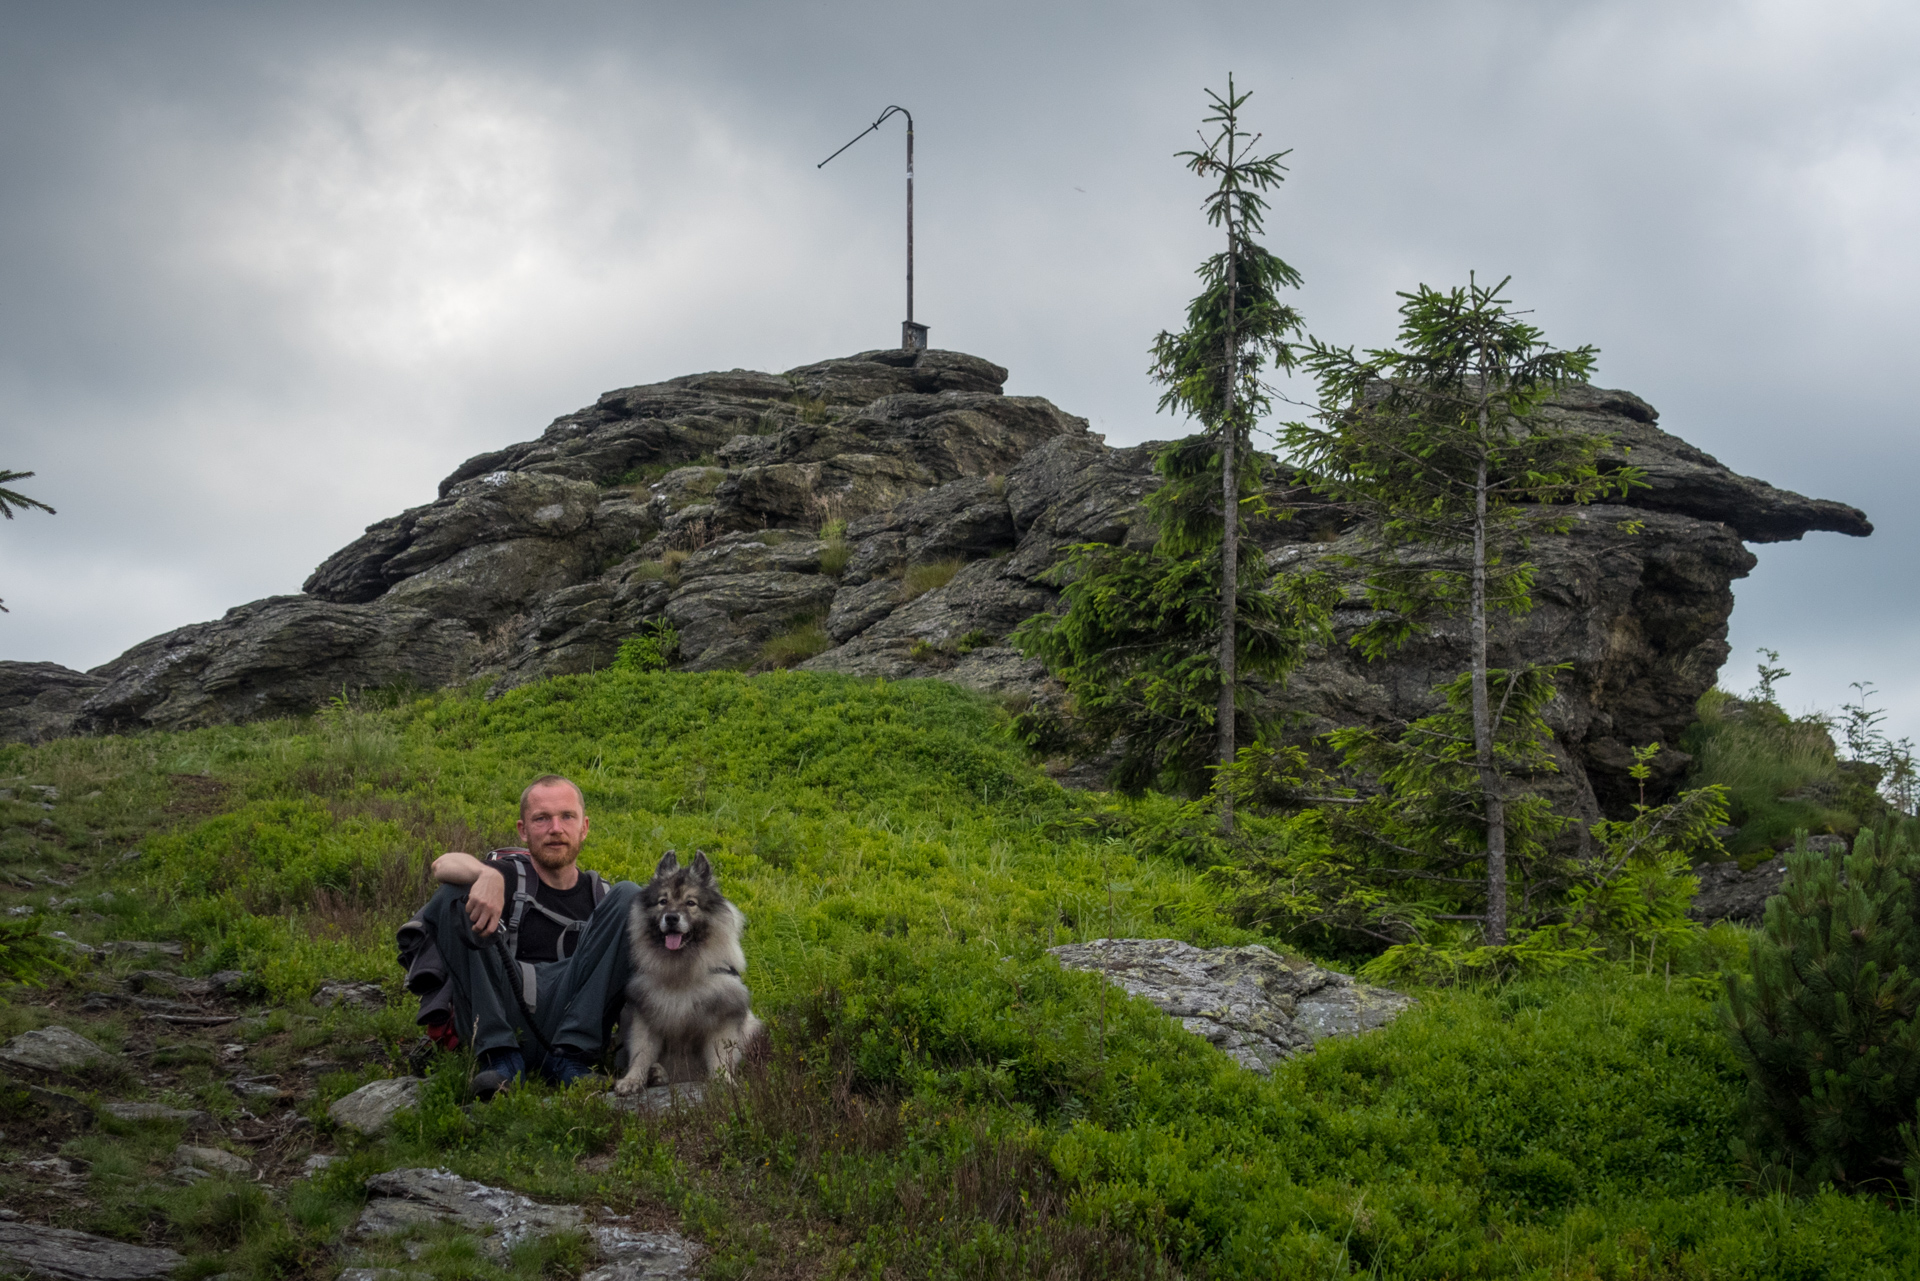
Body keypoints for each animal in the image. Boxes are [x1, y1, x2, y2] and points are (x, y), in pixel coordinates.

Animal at [618, 852, 760, 1090]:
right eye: (663, 901)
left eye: (691, 903)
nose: (671, 917)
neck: (681, 972)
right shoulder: (646, 1015)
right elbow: (642, 1052)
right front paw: (632, 1080)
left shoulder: (722, 1017)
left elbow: (720, 1055)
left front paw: (724, 1081)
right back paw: (657, 1074)